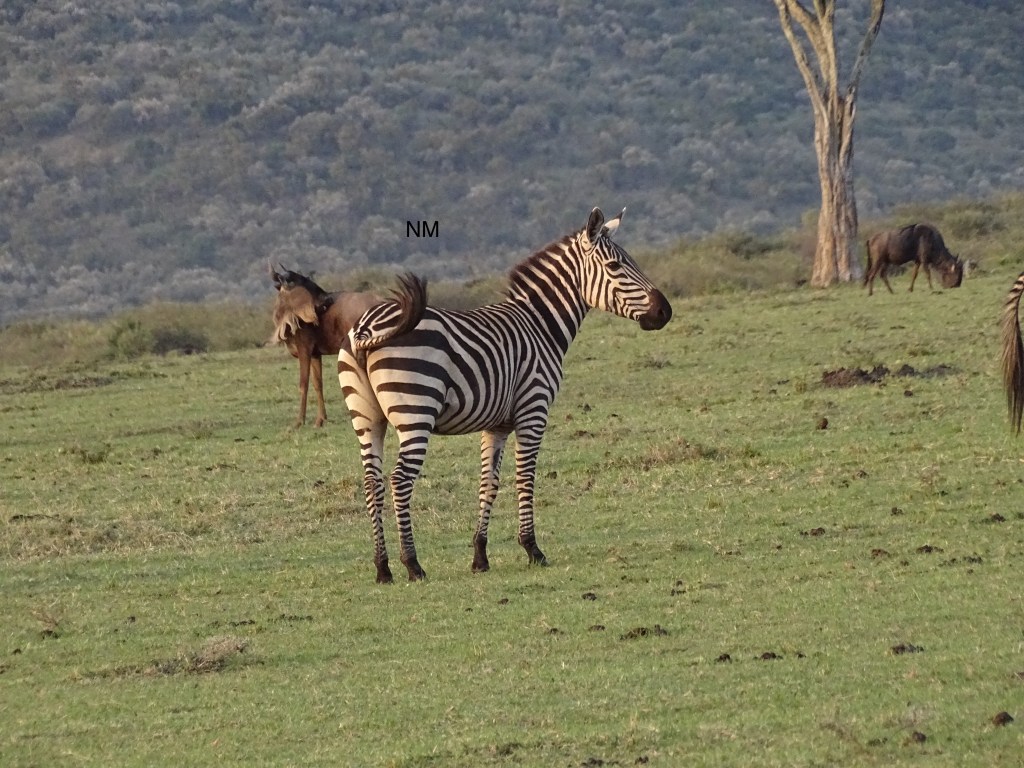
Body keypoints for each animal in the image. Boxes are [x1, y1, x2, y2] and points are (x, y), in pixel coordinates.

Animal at [338, 207, 672, 583]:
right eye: (615, 266)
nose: (665, 311)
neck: (541, 325)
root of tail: (367, 327)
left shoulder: (495, 424)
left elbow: (489, 482)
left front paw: (480, 556)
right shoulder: (534, 410)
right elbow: (525, 475)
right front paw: (532, 548)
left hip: (368, 419)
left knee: (372, 483)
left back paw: (382, 568)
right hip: (415, 412)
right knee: (398, 481)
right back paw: (412, 564)